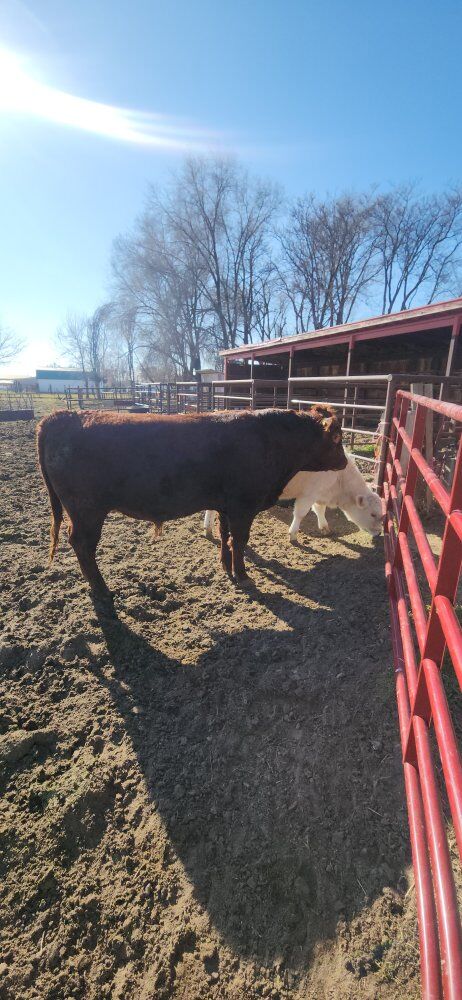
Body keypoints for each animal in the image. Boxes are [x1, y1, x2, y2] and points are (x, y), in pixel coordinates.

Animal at [36, 406, 347, 606]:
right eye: (337, 438)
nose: (344, 461)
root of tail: (60, 417)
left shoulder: (225, 506)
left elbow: (225, 536)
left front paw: (225, 567)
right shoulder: (243, 506)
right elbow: (240, 540)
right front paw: (243, 575)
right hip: (86, 510)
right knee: (82, 545)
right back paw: (102, 591)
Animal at [203, 453, 382, 543]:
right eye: (373, 514)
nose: (379, 533)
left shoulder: (318, 493)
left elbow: (319, 510)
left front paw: (324, 527)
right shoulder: (308, 494)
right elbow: (301, 513)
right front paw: (293, 534)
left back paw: (208, 529)